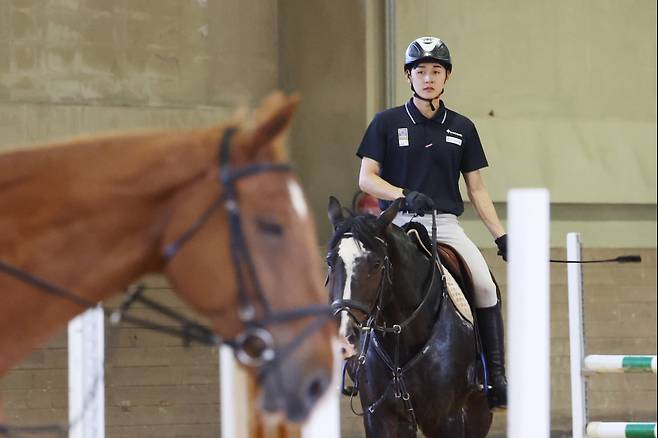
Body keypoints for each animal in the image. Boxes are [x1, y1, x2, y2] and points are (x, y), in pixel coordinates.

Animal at [326, 198, 490, 434]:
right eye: (330, 261)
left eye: (376, 263)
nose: (344, 336)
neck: (401, 335)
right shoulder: (379, 416)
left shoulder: (448, 417)